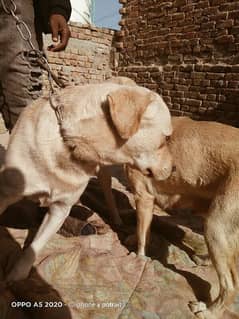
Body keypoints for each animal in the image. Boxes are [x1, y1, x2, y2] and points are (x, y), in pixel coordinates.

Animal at [0, 82, 173, 282]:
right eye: (166, 138)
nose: (174, 168)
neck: (70, 145)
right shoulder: (6, 193)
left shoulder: (60, 209)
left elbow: (35, 246)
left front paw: (18, 275)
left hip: (104, 176)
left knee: (109, 198)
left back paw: (116, 219)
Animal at [125, 116, 239, 318]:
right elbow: (144, 231)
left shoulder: (143, 197)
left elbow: (142, 236)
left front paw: (139, 259)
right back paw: (204, 260)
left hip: (216, 224)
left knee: (231, 284)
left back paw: (209, 311)